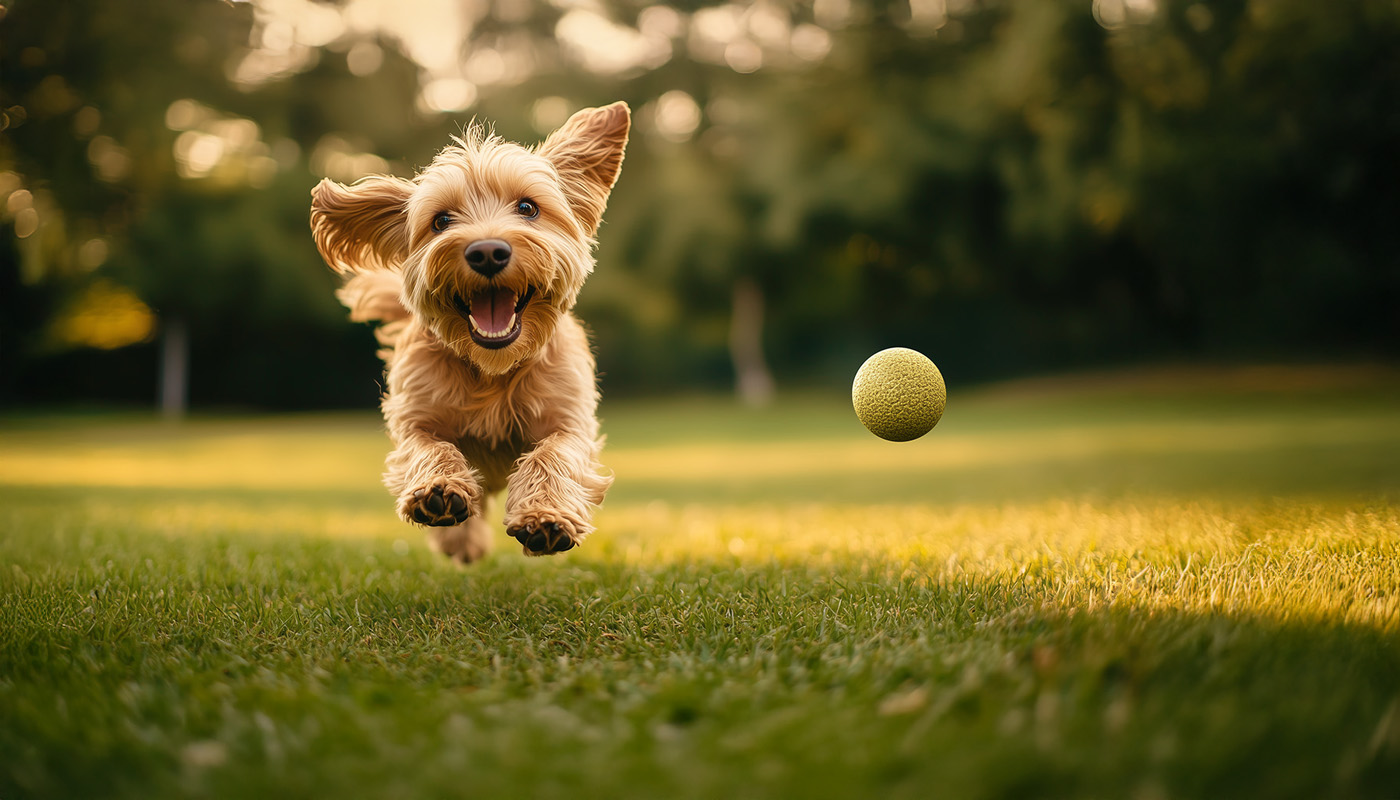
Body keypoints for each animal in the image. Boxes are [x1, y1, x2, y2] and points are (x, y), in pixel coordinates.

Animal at [315, 101, 632, 563]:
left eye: (528, 208)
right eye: (441, 220)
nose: (487, 251)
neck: (491, 370)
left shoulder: (569, 418)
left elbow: (554, 453)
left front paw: (546, 516)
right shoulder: (416, 415)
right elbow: (430, 446)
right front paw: (439, 491)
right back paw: (461, 539)